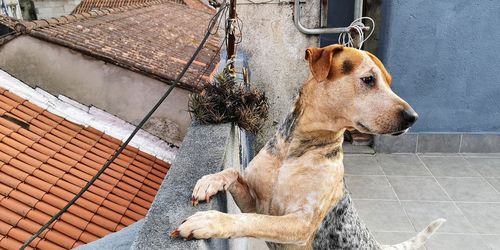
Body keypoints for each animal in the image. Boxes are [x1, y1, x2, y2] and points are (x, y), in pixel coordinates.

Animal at [170, 44, 444, 249]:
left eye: (388, 82)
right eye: (369, 79)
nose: (412, 117)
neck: (295, 150)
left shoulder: (300, 222)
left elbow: (252, 220)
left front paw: (210, 221)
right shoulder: (255, 200)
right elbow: (234, 173)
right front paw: (209, 181)